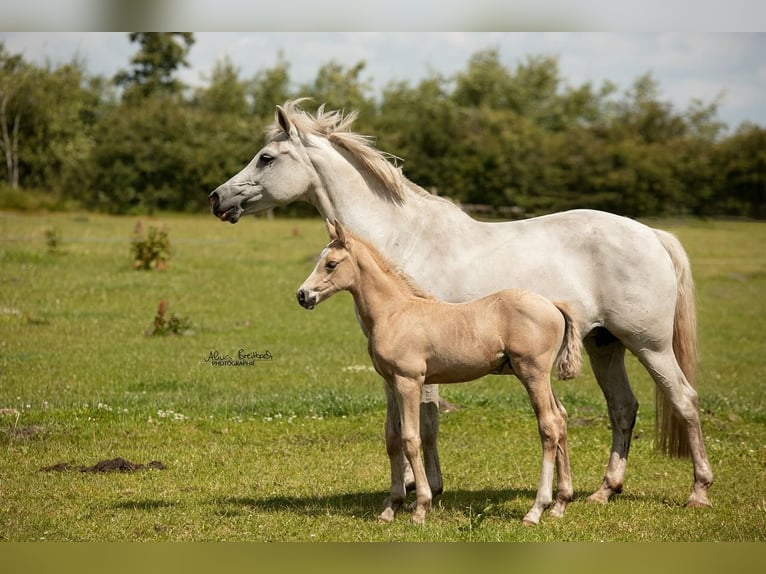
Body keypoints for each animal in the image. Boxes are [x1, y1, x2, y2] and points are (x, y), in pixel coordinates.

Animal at [296, 222, 584, 528]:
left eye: (331, 264)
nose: (302, 295)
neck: (394, 312)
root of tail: (553, 305)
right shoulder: (390, 383)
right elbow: (392, 439)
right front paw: (391, 508)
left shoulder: (409, 382)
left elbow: (411, 439)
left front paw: (421, 507)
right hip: (540, 378)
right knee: (561, 418)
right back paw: (561, 503)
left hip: (532, 374)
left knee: (549, 426)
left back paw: (536, 510)